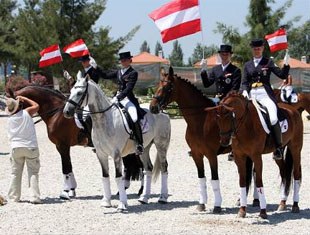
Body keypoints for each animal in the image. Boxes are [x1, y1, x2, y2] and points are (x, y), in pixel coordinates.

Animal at [10, 85, 142, 199]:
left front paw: (65, 191)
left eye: (18, 104)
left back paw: (138, 192)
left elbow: (65, 167)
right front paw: (72, 189)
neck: (57, 114)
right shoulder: (62, 146)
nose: (13, 120)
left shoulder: (62, 145)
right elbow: (69, 166)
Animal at [149, 66, 234, 213]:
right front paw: (201, 204)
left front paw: (217, 205)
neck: (201, 119)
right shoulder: (196, 154)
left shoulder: (211, 155)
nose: (152, 107)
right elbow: (201, 177)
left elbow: (214, 178)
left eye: (168, 87)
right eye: (157, 85)